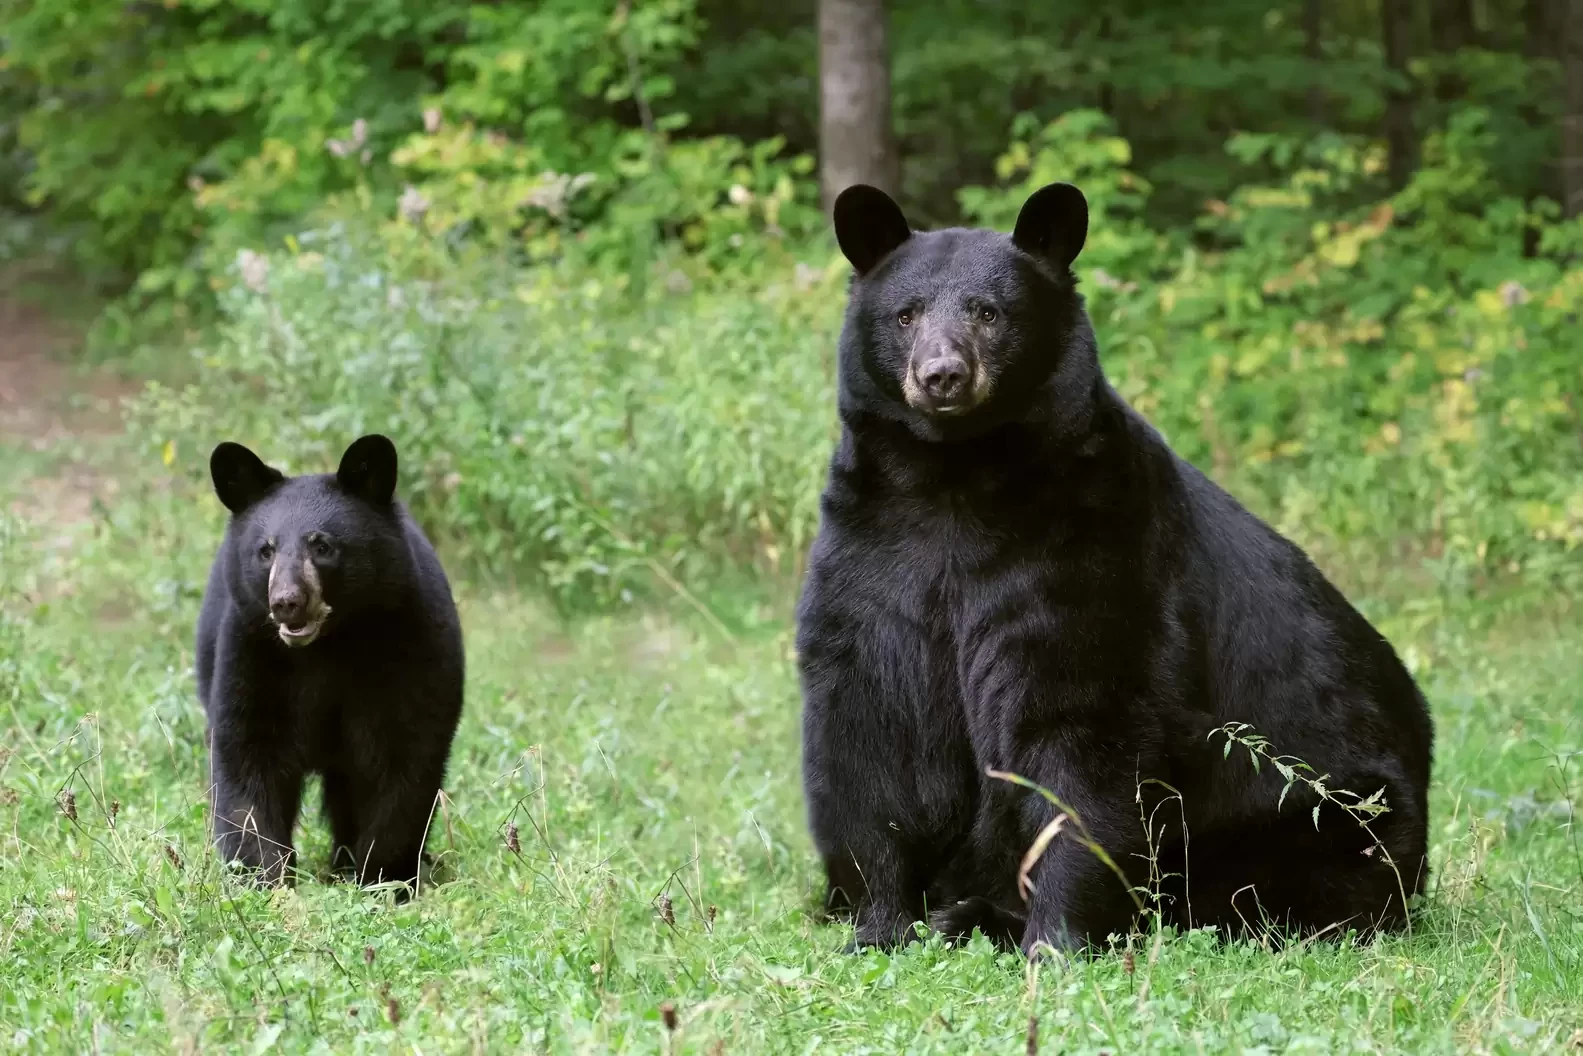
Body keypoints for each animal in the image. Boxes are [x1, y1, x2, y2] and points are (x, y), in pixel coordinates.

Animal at [196, 430, 462, 892]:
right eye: (265, 551)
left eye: (322, 546)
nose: (286, 602)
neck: (326, 647)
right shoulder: (249, 652)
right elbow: (246, 758)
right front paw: (262, 877)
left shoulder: (412, 645)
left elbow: (404, 758)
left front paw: (383, 878)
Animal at [797, 182, 1431, 956]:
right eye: (906, 313)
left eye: (988, 311)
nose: (942, 376)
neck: (954, 477)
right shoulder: (871, 549)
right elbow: (870, 734)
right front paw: (879, 923)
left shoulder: (1095, 549)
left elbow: (1081, 732)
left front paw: (1057, 938)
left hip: (1321, 812)